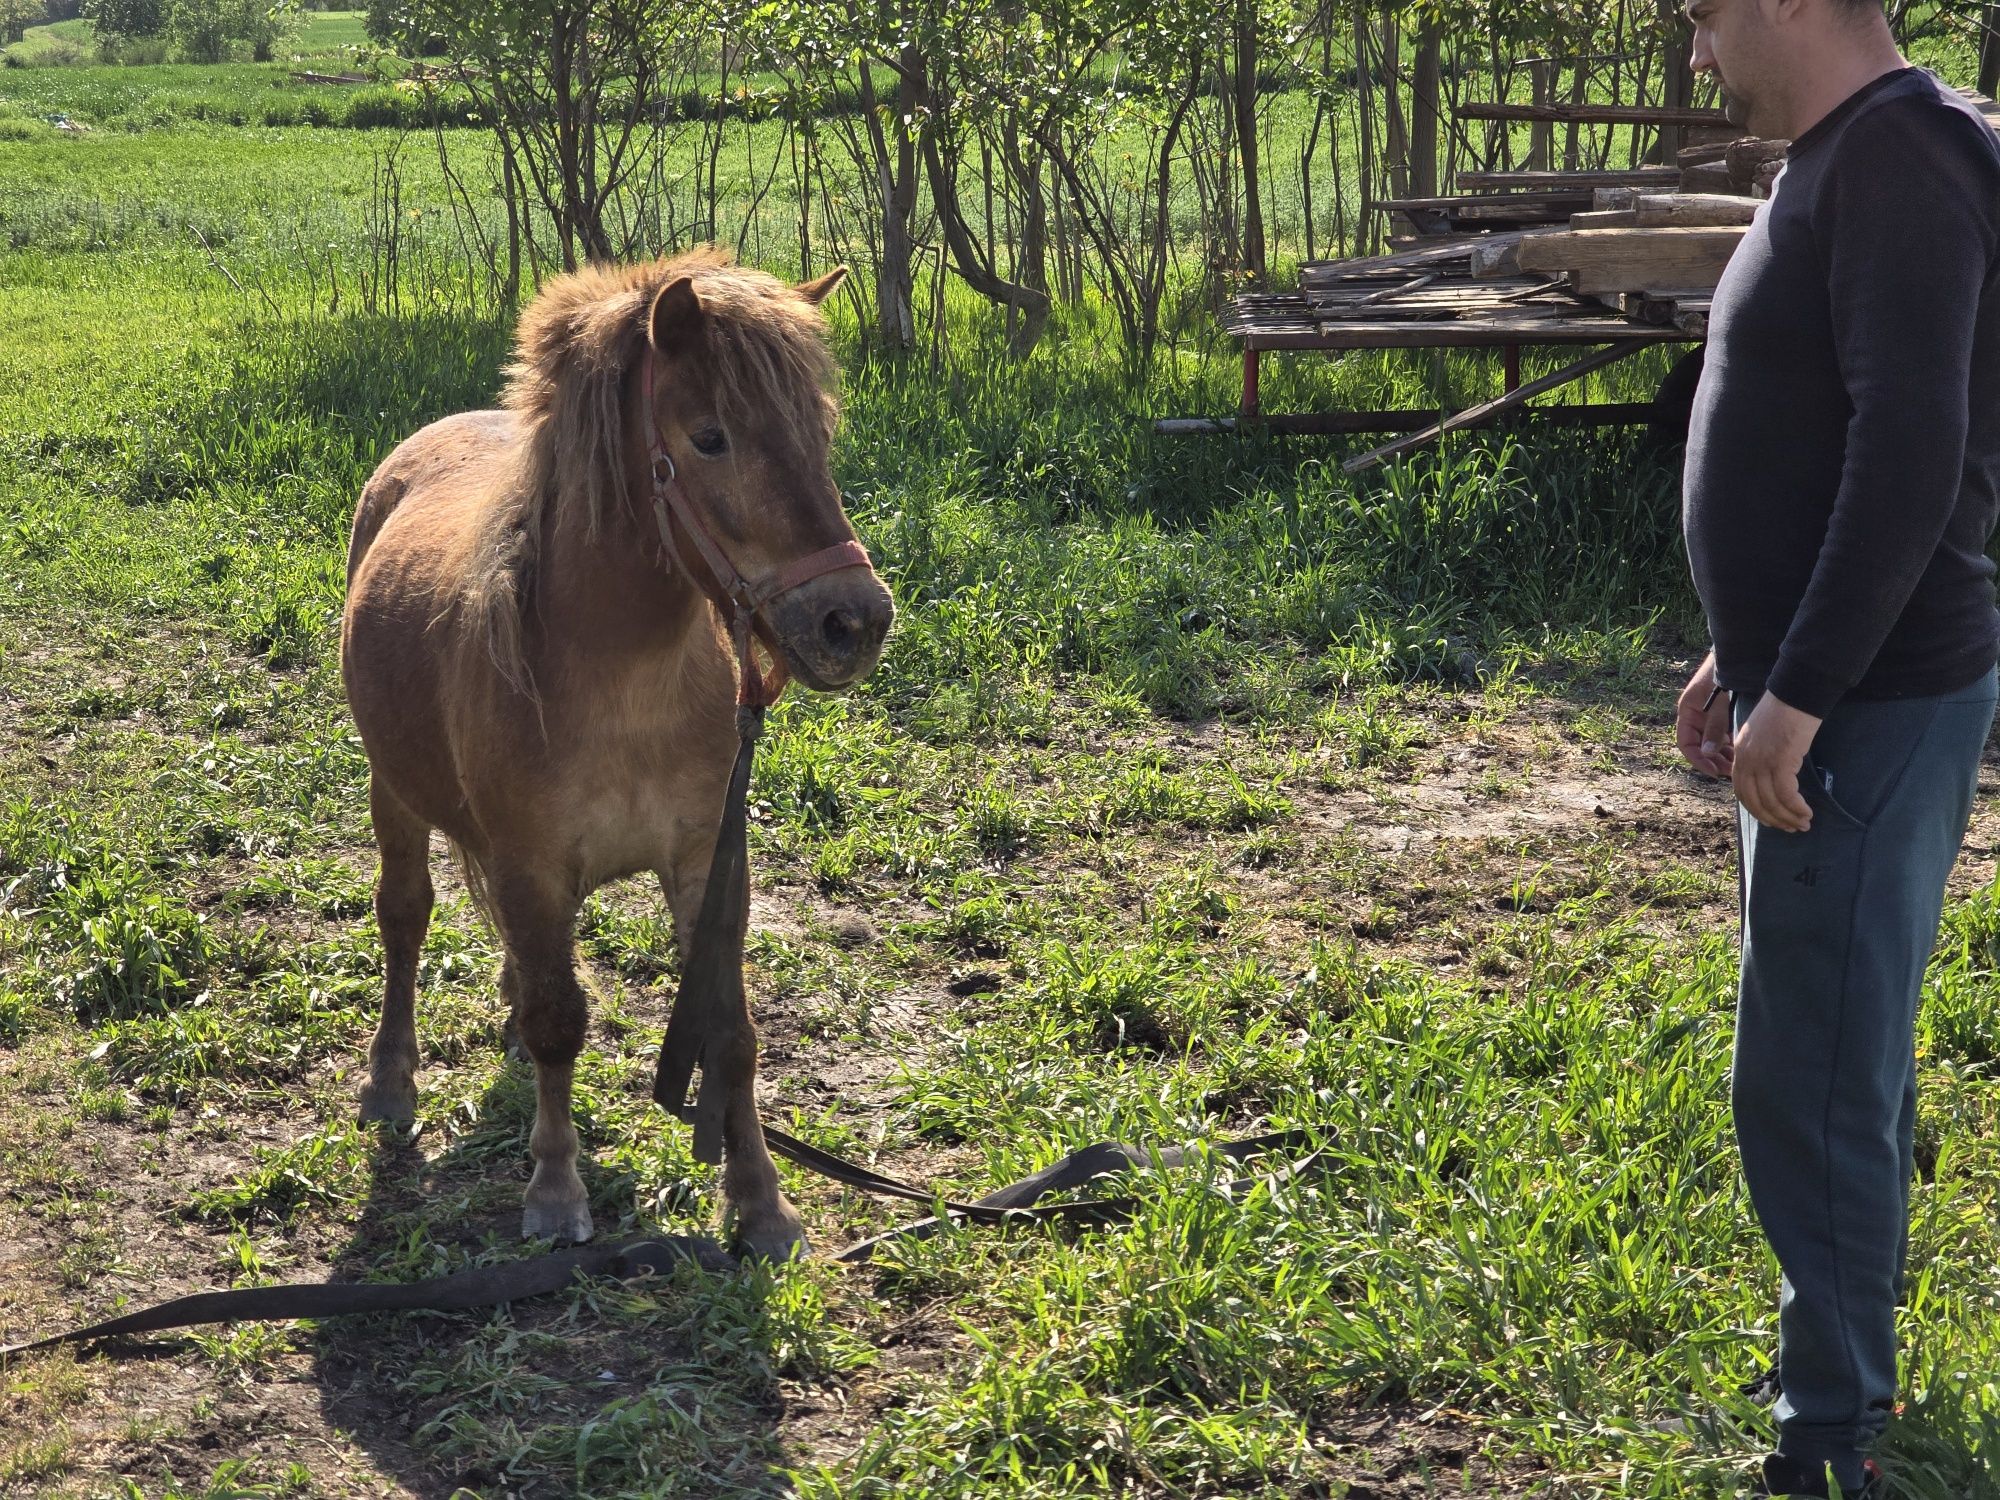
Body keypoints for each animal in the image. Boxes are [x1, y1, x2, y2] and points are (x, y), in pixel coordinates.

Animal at [338, 253, 892, 1264]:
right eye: (710, 438)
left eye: (820, 430)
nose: (854, 621)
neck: (621, 684)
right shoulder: (530, 863)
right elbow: (560, 1024)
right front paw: (557, 1193)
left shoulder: (707, 863)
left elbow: (729, 1033)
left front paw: (762, 1204)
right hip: (392, 791)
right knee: (405, 918)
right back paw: (391, 1081)